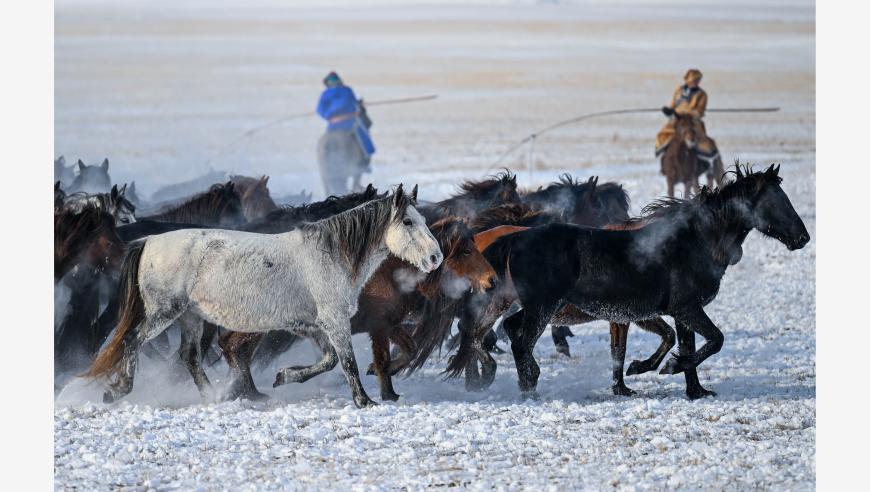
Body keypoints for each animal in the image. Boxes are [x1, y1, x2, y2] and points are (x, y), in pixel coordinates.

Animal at [87, 184, 442, 408]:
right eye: (408, 221)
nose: (435, 258)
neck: (330, 255)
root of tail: (146, 242)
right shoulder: (334, 321)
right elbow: (347, 363)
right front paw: (364, 401)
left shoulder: (311, 326)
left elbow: (328, 361)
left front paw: (284, 377)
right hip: (164, 312)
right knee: (132, 341)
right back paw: (117, 391)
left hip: (190, 316)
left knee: (189, 357)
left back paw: (213, 398)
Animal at [484, 165, 812, 400]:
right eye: (776, 201)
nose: (803, 238)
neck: (695, 240)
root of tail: (514, 239)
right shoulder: (686, 308)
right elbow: (714, 340)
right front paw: (668, 367)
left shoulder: (679, 313)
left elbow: (686, 344)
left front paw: (694, 390)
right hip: (543, 308)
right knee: (522, 342)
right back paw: (530, 387)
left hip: (539, 307)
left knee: (512, 331)